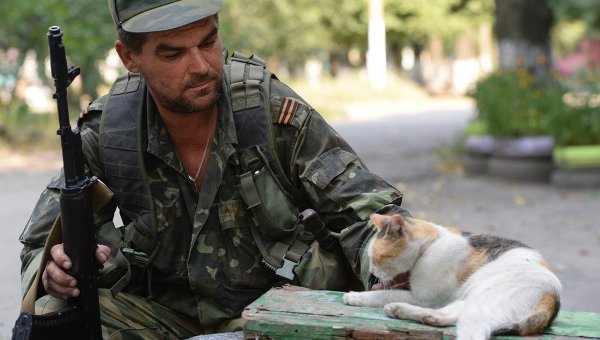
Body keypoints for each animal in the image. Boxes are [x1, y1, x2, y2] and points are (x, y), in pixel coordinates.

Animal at [342, 214, 564, 338]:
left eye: (378, 258)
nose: (372, 271)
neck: (431, 245)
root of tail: (554, 295)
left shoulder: (422, 297)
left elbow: (382, 294)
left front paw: (355, 296)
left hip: (480, 305)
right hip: (470, 299)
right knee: (447, 315)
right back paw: (401, 311)